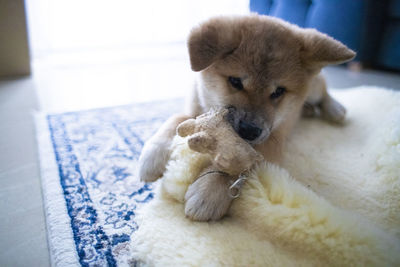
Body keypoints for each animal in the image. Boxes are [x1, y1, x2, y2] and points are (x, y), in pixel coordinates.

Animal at [137, 14, 354, 222]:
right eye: (235, 81)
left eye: (279, 92)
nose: (250, 131)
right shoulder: (193, 110)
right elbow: (175, 120)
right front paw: (152, 156)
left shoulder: (273, 141)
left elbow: (239, 161)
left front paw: (210, 189)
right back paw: (310, 110)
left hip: (315, 90)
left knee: (324, 91)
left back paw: (335, 109)